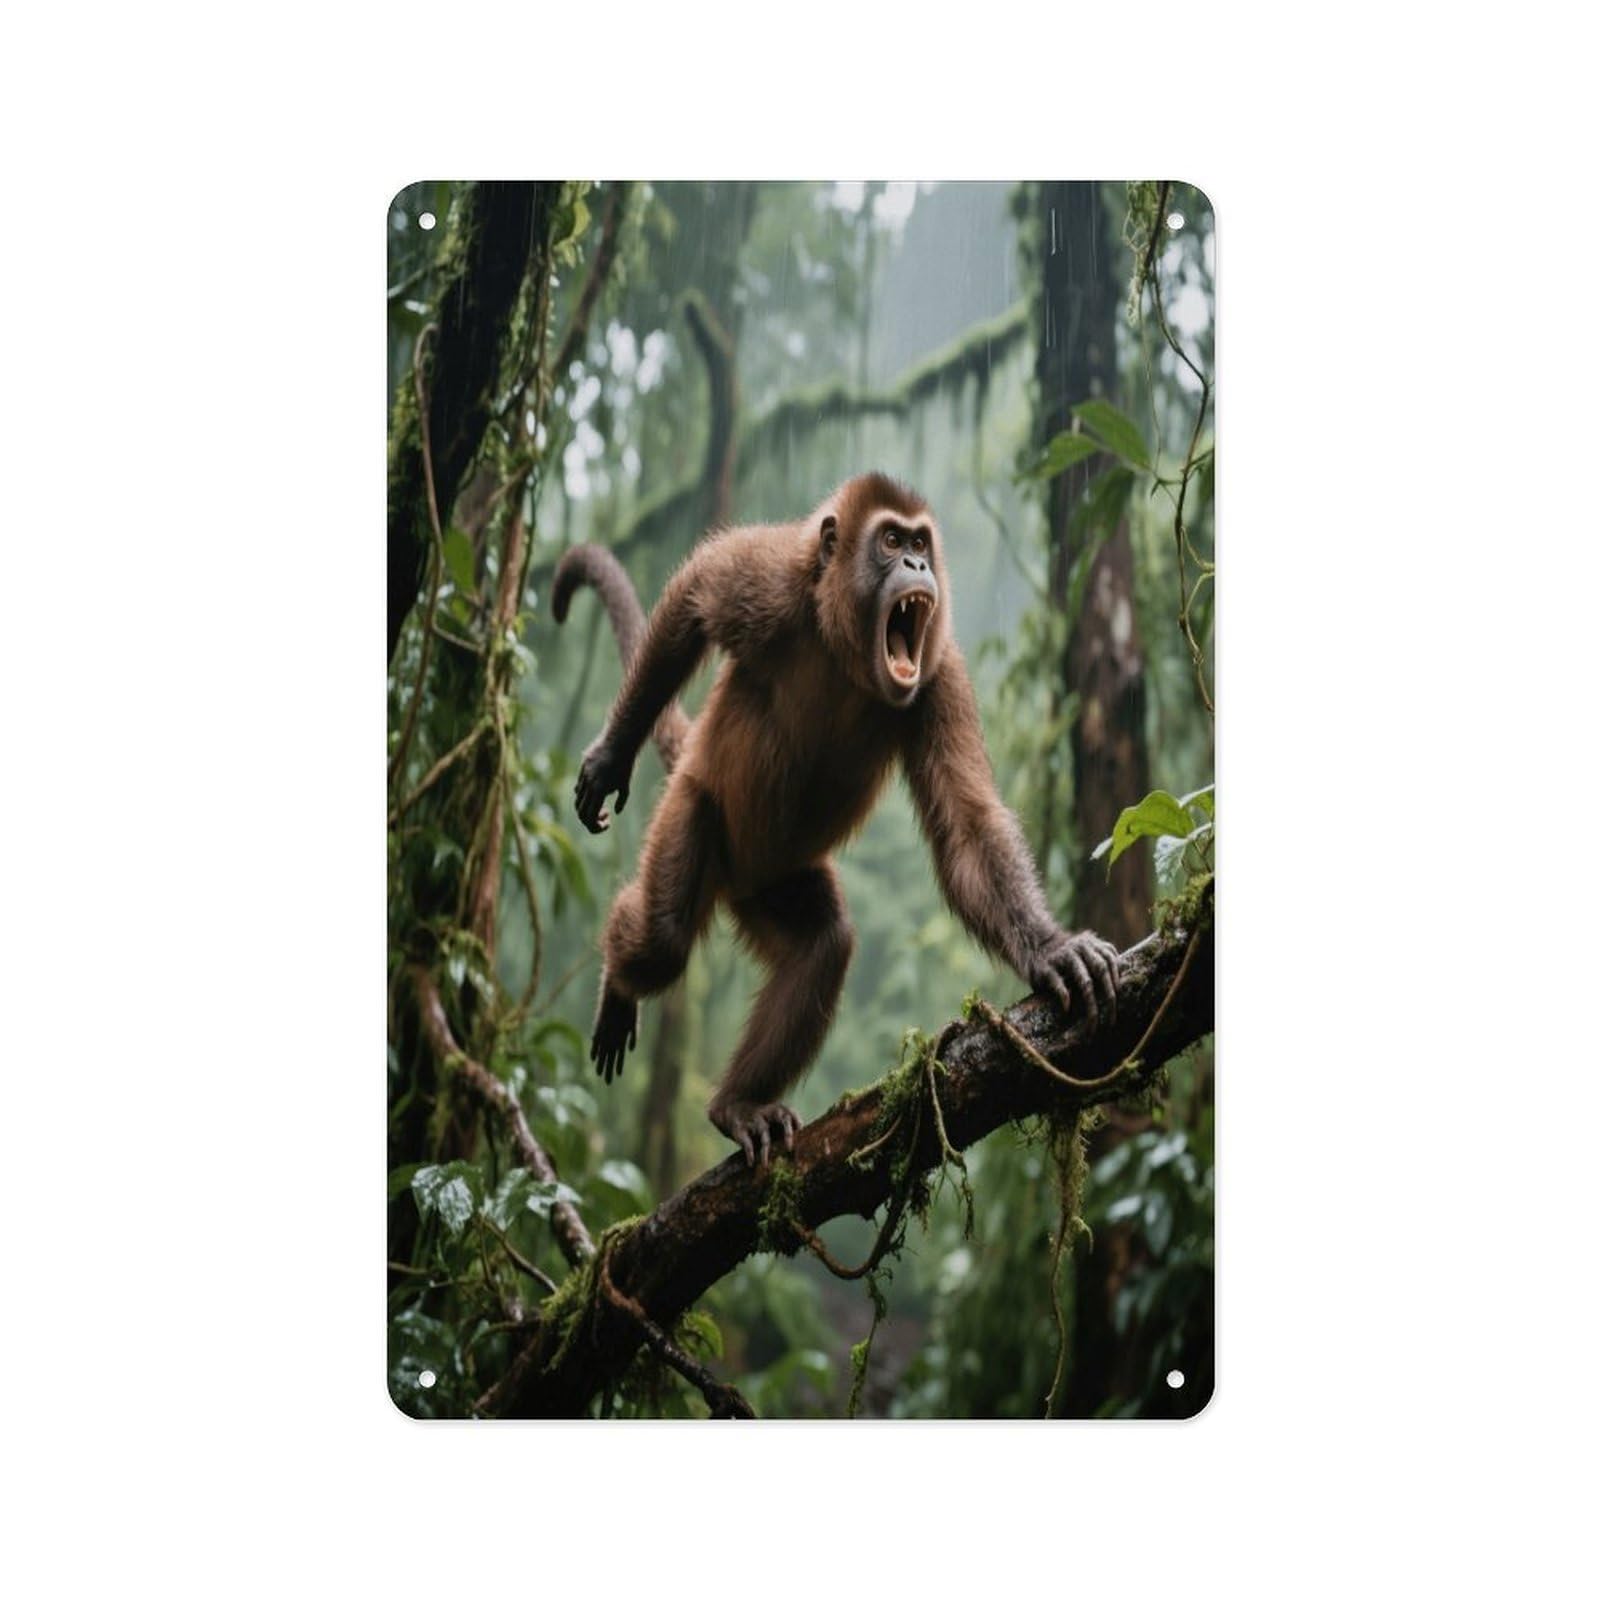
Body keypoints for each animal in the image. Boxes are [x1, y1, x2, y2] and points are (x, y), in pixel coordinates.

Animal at [551, 472, 1119, 1166]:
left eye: (920, 543)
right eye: (891, 541)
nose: (917, 566)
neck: (845, 652)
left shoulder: (940, 673)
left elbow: (967, 823)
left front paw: (1048, 948)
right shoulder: (773, 587)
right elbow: (695, 596)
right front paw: (611, 756)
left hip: (769, 882)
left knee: (823, 944)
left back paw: (735, 1104)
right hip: (692, 810)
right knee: (662, 937)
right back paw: (621, 984)